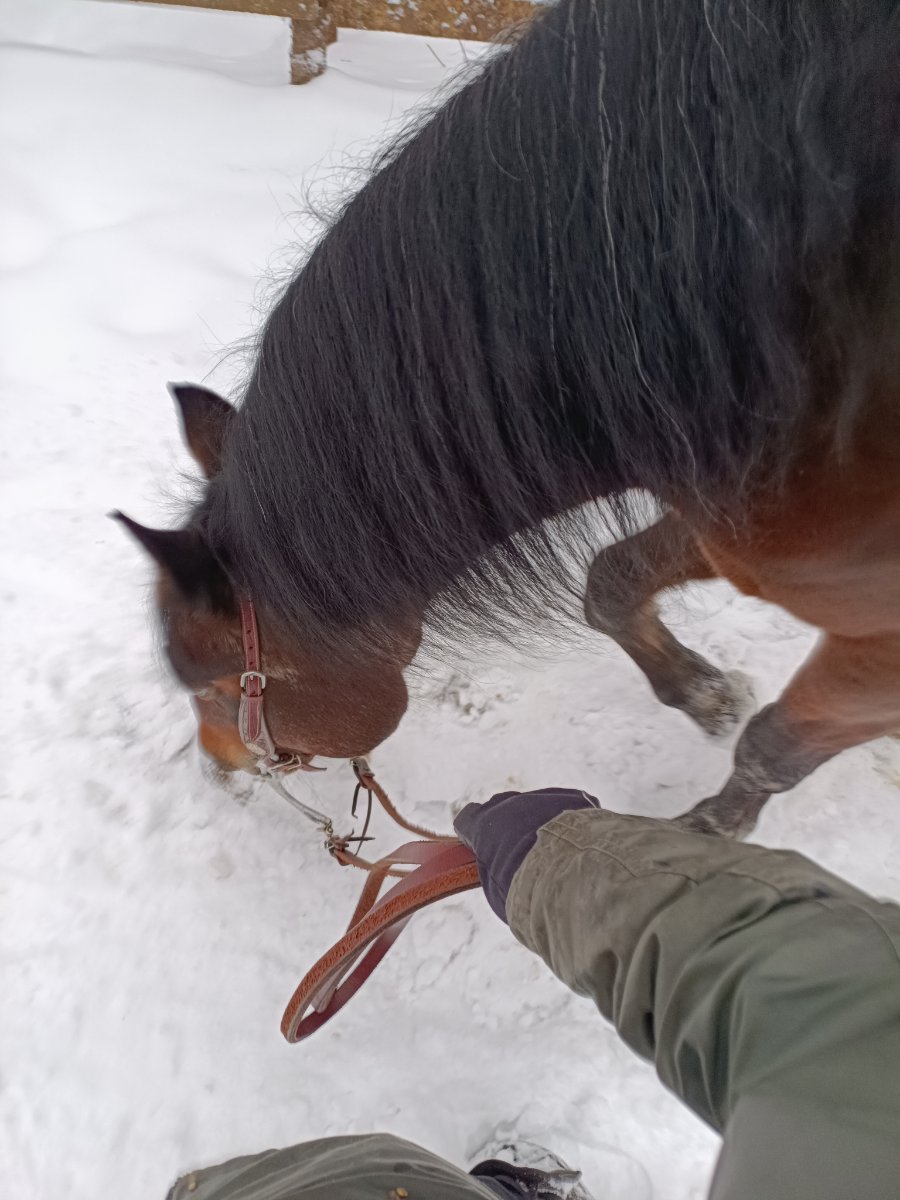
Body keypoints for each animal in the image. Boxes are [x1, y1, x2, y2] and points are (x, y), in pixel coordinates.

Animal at [117, 0, 900, 838]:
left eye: (221, 687)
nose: (218, 768)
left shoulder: (876, 634)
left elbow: (774, 746)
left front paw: (704, 834)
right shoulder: (730, 524)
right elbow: (611, 582)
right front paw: (704, 693)